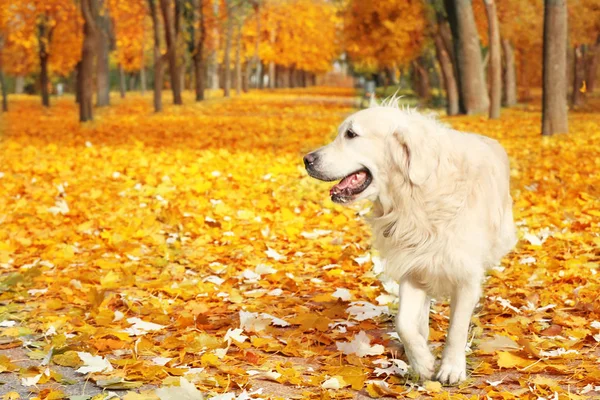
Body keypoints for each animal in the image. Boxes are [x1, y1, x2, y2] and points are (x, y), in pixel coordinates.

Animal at [304, 98, 516, 382]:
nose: (307, 159)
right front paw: (422, 361)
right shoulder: (412, 264)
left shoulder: (466, 275)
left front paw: (451, 367)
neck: (417, 196)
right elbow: (403, 322)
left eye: (351, 134)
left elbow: (457, 327)